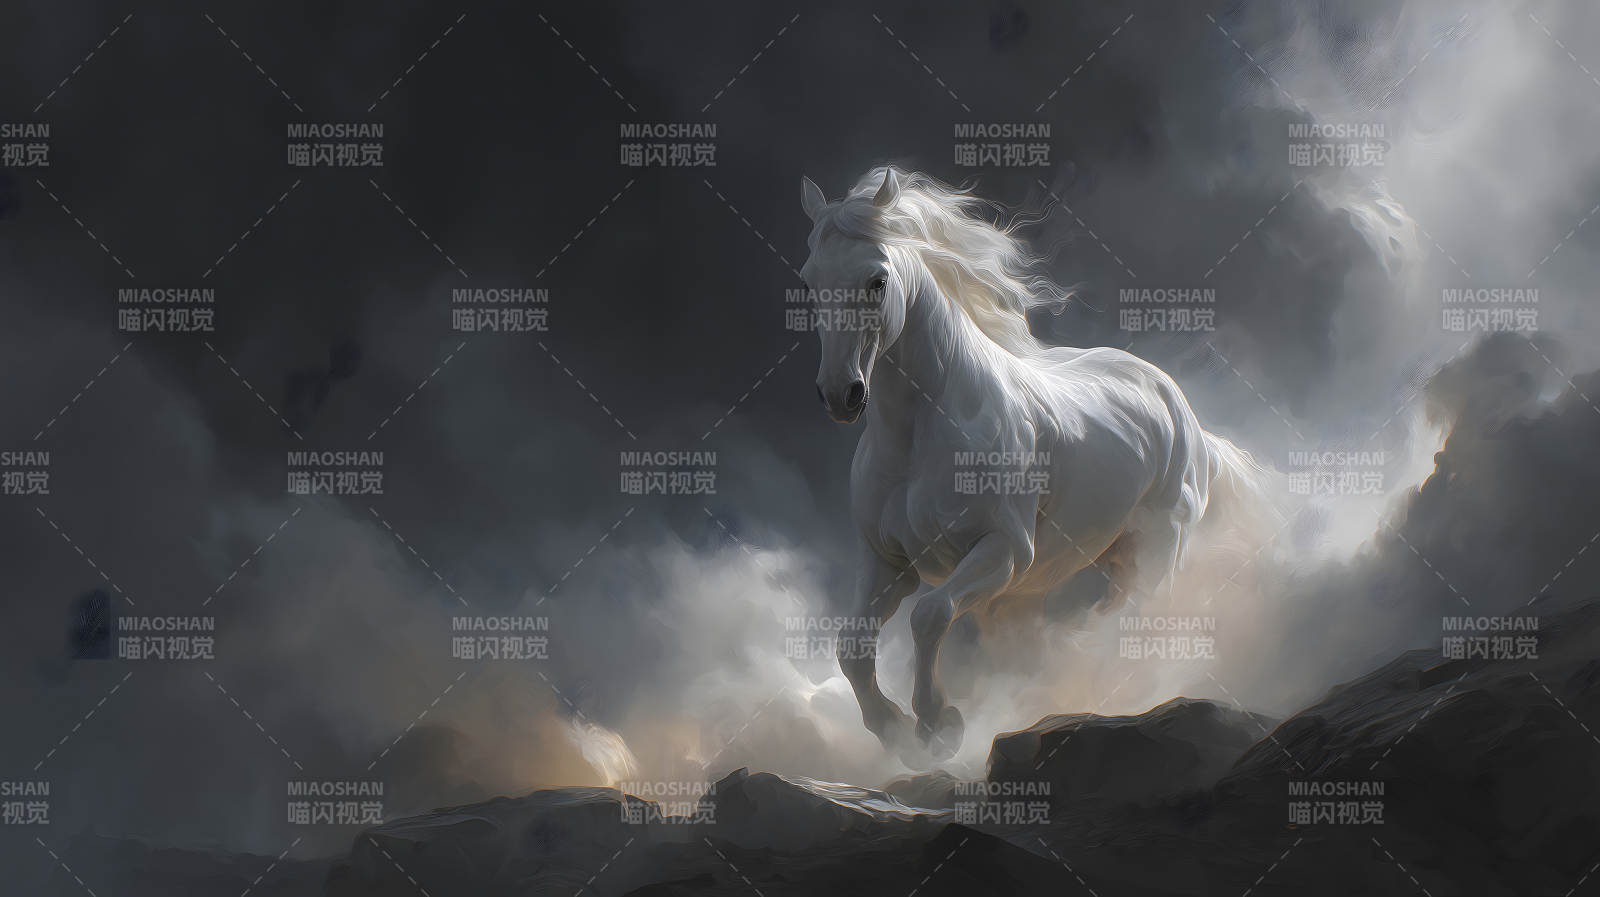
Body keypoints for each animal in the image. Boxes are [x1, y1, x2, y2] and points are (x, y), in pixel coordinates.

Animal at [798, 166, 1268, 763]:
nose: (841, 395)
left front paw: (938, 725)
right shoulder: (886, 562)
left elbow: (929, 616)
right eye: (809, 282)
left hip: (1157, 551)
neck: (919, 438)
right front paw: (894, 730)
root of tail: (1180, 409)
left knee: (1133, 625)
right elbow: (852, 646)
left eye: (877, 280)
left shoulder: (1003, 551)